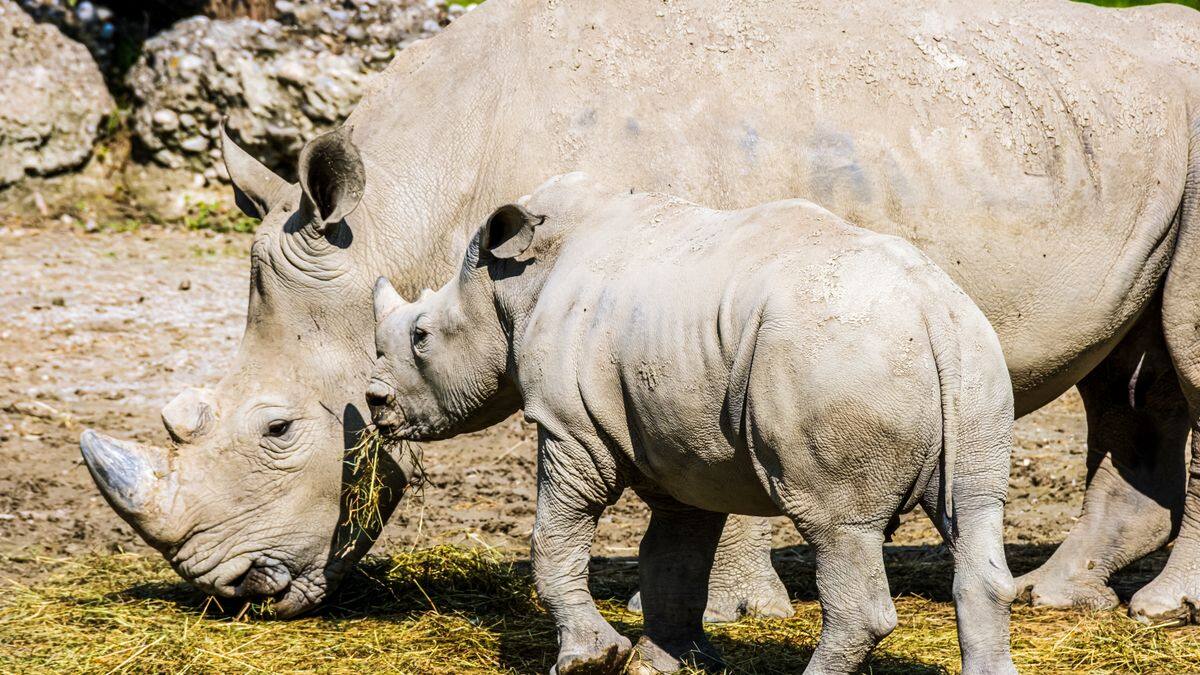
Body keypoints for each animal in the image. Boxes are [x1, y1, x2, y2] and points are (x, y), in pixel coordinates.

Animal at [81, 0, 1200, 624]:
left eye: (277, 429)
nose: (232, 590)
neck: (406, 209)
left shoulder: (693, 289)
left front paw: (730, 609)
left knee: (1180, 356)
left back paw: (1159, 612)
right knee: (1129, 373)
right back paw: (1061, 596)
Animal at [367, 173, 1018, 675]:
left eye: (421, 336)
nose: (373, 402)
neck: (510, 285)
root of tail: (932, 310)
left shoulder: (572, 428)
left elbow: (554, 538)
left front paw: (590, 660)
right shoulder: (683, 447)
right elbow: (674, 555)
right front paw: (668, 662)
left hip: (836, 357)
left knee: (839, 528)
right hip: (974, 361)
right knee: (975, 513)